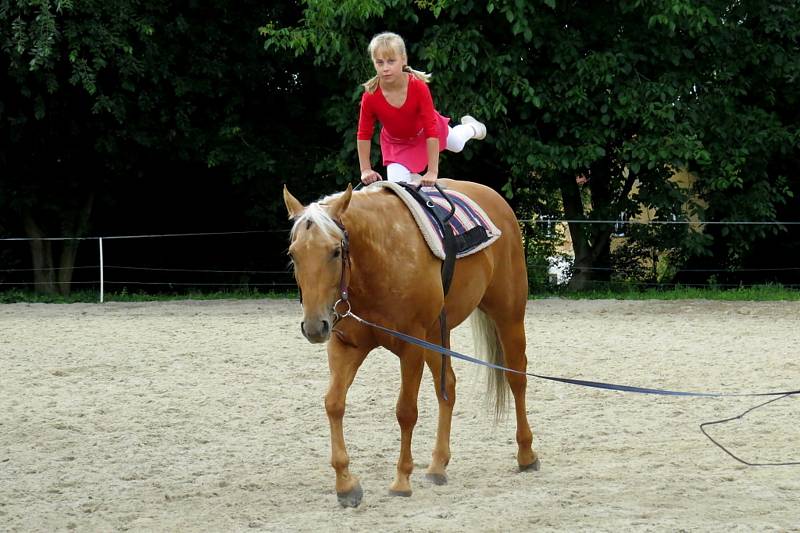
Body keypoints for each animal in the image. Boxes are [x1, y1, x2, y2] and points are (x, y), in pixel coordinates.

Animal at [282, 180, 536, 508]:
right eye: (294, 254)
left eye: (336, 252)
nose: (314, 326)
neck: (376, 263)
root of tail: (494, 199)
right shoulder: (345, 346)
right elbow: (334, 404)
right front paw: (346, 484)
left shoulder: (411, 347)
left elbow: (406, 411)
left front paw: (401, 480)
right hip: (437, 335)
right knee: (448, 387)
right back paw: (438, 465)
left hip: (508, 315)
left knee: (517, 377)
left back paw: (526, 454)